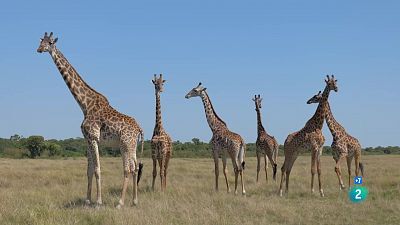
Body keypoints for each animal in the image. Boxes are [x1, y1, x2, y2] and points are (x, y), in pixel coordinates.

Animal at [36, 31, 144, 207]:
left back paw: (120, 202)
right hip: (130, 145)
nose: (39, 49)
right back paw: (134, 201)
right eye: (41, 41)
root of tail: (140, 128)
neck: (84, 104)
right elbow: (89, 170)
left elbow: (98, 169)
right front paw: (87, 200)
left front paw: (98, 202)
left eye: (50, 43)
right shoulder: (86, 140)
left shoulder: (93, 138)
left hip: (126, 144)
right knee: (134, 168)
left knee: (128, 169)